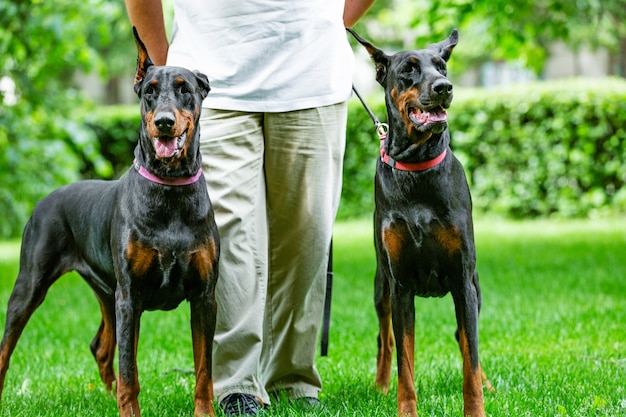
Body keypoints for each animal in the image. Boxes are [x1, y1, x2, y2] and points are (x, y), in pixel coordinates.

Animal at [0, 28, 219, 416]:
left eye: (185, 89)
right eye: (149, 91)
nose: (164, 122)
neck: (170, 190)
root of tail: (45, 198)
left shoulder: (204, 296)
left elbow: (203, 370)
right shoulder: (130, 296)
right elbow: (130, 369)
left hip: (105, 289)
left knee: (100, 346)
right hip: (32, 284)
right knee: (6, 350)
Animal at [348, 29, 490, 416]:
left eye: (441, 65)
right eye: (409, 69)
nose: (444, 87)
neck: (416, 168)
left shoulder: (462, 280)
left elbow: (470, 357)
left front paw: (476, 407)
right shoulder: (401, 286)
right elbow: (405, 363)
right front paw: (404, 407)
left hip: (475, 288)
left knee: (466, 341)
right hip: (381, 287)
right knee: (385, 339)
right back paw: (380, 386)